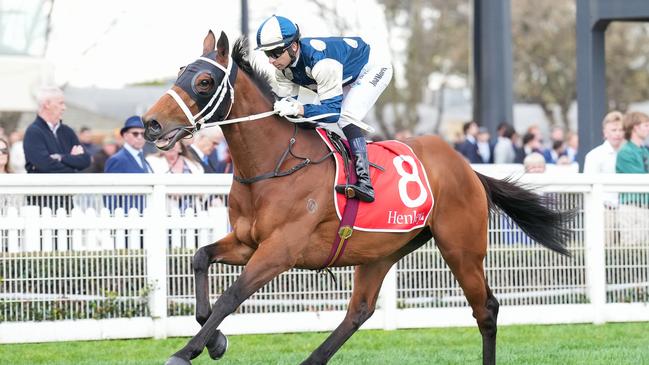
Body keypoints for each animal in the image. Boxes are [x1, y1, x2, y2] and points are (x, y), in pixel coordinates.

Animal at [143, 31, 572, 364]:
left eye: (203, 81)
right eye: (181, 72)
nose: (151, 123)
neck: (274, 164)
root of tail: (467, 168)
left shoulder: (280, 251)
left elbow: (230, 296)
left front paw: (186, 351)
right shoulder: (248, 242)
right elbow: (200, 258)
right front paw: (215, 341)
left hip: (460, 247)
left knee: (486, 309)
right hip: (381, 251)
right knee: (359, 312)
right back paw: (311, 360)